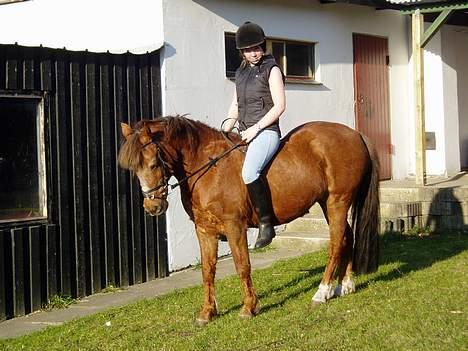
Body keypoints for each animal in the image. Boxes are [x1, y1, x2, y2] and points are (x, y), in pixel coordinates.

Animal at [118, 115, 380, 328]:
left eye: (153, 163)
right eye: (134, 169)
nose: (152, 208)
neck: (208, 167)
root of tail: (355, 134)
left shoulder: (234, 226)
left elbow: (242, 265)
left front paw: (248, 308)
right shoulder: (204, 230)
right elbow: (207, 270)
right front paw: (207, 313)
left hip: (338, 201)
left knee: (335, 244)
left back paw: (322, 291)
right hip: (328, 203)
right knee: (346, 237)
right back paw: (345, 285)